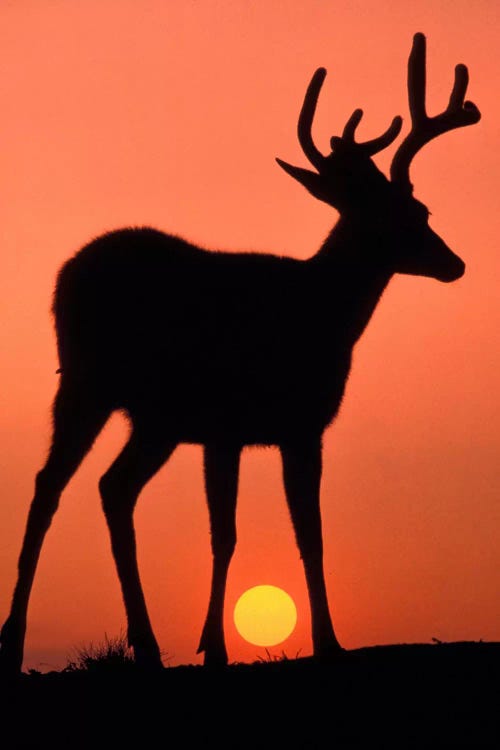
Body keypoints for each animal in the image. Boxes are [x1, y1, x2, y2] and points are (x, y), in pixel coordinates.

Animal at [1, 33, 482, 676]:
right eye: (416, 213)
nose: (455, 263)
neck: (322, 313)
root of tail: (67, 273)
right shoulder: (293, 425)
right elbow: (288, 534)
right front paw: (314, 643)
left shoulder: (235, 432)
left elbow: (247, 533)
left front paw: (218, 645)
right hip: (95, 386)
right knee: (66, 486)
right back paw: (38, 641)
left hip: (139, 412)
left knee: (94, 486)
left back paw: (123, 644)